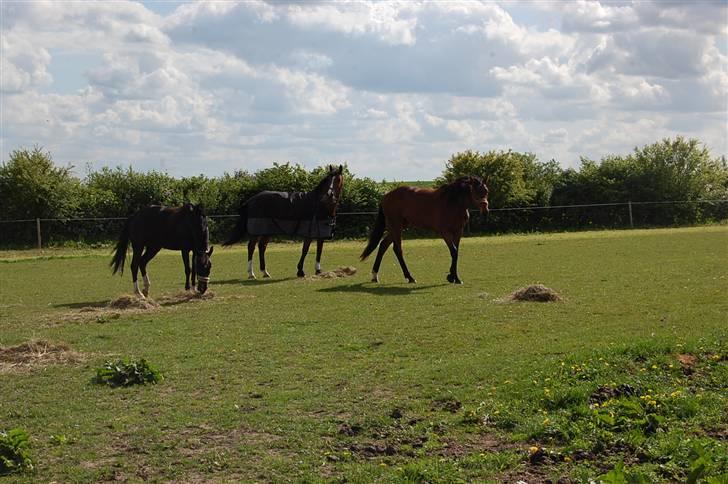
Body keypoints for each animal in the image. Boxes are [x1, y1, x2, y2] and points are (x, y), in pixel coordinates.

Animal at [360, 176, 490, 284]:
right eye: (475, 191)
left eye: (486, 191)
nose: (485, 209)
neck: (453, 202)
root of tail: (386, 196)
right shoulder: (445, 232)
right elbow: (453, 251)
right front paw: (452, 277)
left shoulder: (458, 231)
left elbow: (456, 252)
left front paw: (454, 277)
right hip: (395, 226)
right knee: (397, 249)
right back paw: (409, 277)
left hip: (397, 227)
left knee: (383, 245)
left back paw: (375, 276)